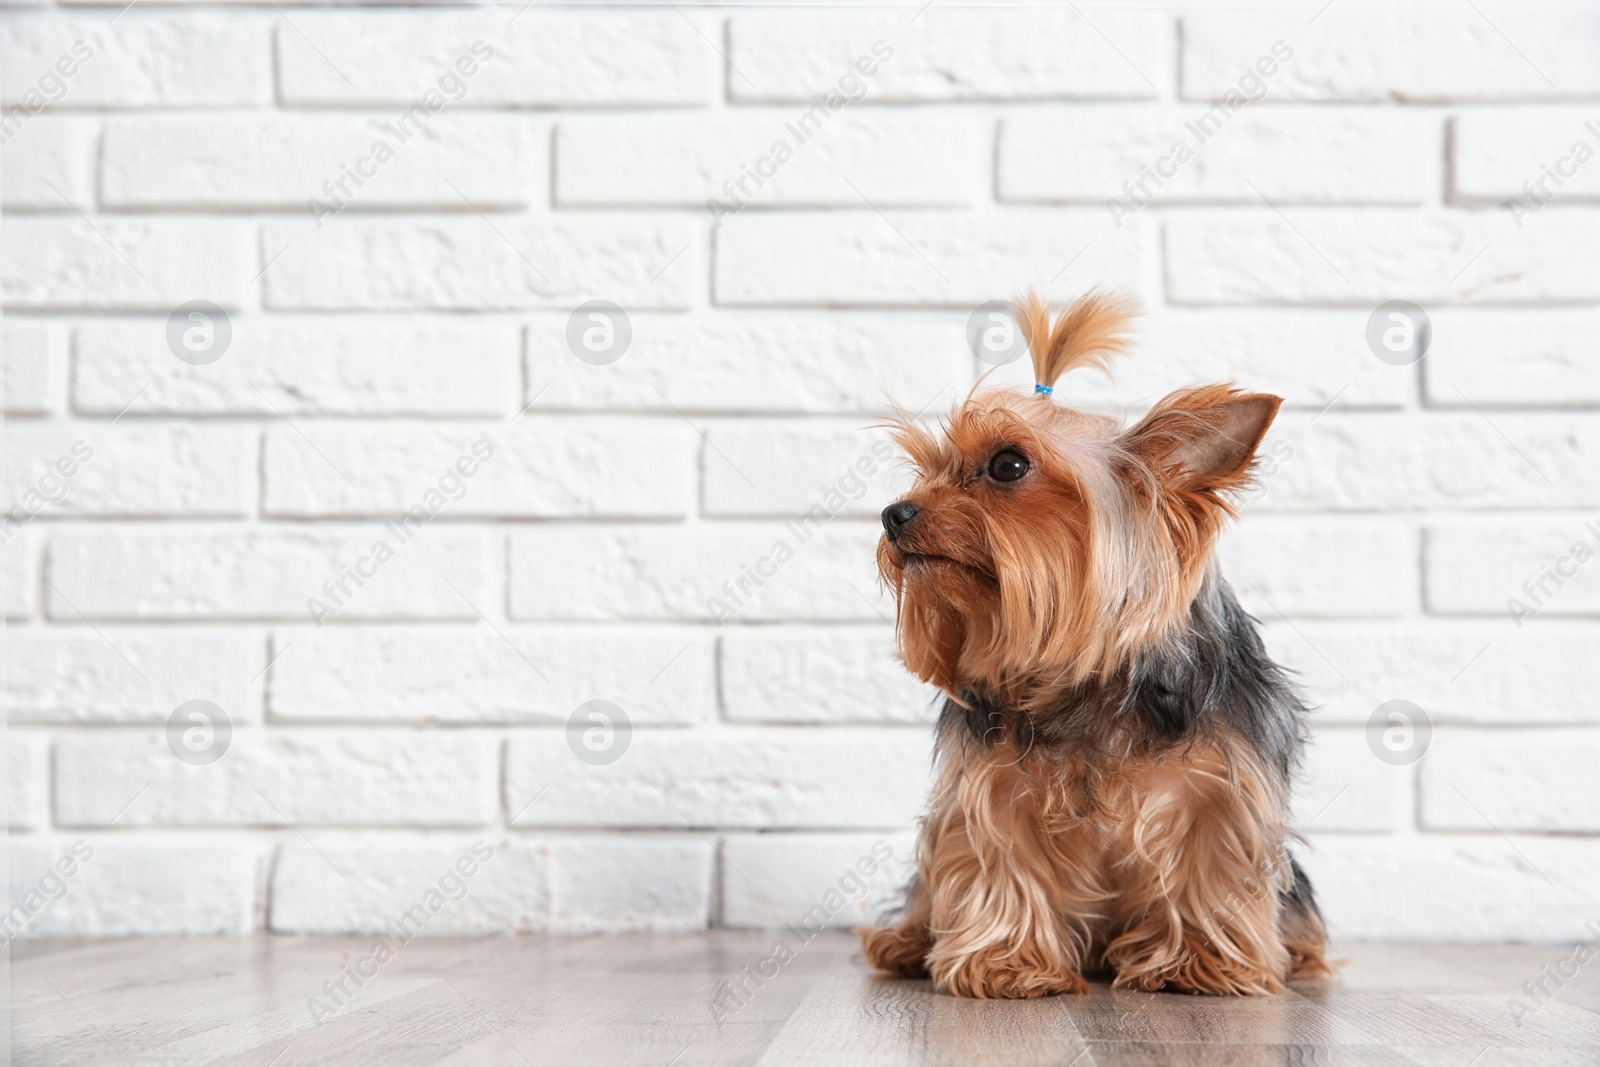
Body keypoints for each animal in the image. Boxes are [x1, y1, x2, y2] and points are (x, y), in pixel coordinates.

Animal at [857, 294, 1331, 1004]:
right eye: (925, 469)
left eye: (1008, 465)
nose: (894, 513)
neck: (1090, 682)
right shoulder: (991, 786)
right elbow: (997, 861)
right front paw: (1005, 962)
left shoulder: (1222, 787)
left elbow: (1213, 866)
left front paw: (1197, 964)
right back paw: (907, 942)